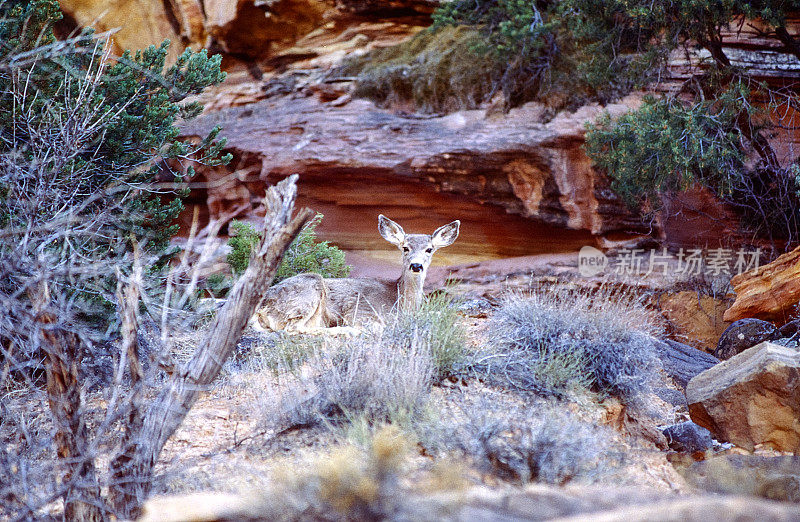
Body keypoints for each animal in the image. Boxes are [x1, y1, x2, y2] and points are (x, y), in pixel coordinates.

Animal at [253, 214, 460, 330]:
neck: (401, 302)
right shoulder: (362, 311)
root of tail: (261, 306)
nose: (416, 266)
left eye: (429, 249)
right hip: (307, 291)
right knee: (293, 328)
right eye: (405, 248)